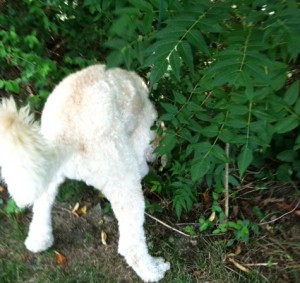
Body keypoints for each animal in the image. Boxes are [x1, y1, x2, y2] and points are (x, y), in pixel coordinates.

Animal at [0, 65, 169, 283]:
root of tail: (64, 136)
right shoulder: (140, 133)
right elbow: (141, 157)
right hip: (122, 177)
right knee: (130, 244)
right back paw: (153, 271)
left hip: (46, 167)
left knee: (41, 204)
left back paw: (38, 240)